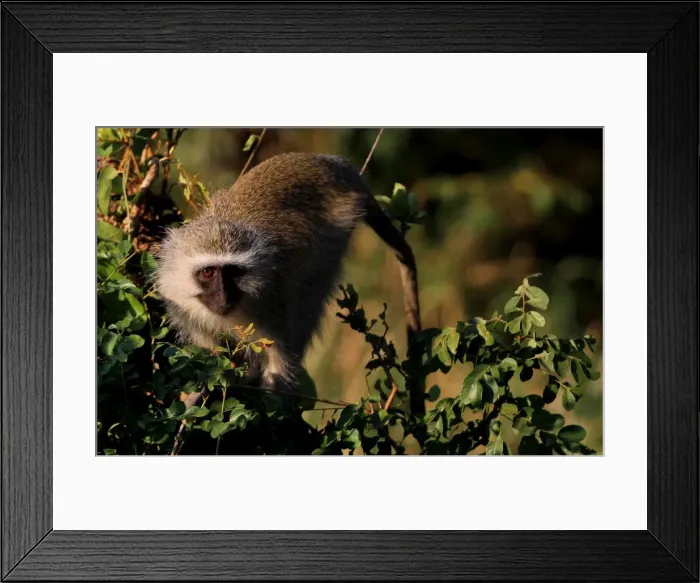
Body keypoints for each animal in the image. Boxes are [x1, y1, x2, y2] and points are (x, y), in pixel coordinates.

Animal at [154, 152, 420, 399]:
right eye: (208, 273)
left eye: (233, 272)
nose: (223, 297)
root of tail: (331, 163)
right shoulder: (180, 306)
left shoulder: (271, 304)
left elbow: (278, 357)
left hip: (336, 233)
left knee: (309, 295)